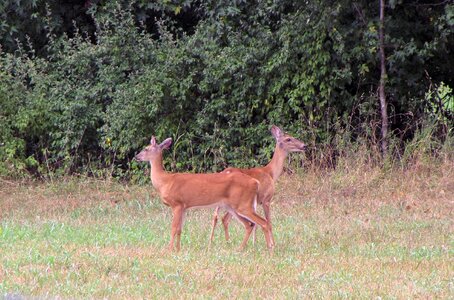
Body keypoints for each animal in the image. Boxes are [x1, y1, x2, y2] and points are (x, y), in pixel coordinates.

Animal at [135, 135, 274, 251]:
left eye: (146, 149)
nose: (136, 157)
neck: (165, 181)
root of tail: (255, 182)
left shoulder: (177, 204)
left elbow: (173, 228)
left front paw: (169, 250)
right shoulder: (184, 206)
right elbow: (180, 229)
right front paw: (178, 249)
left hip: (243, 204)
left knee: (263, 222)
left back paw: (270, 248)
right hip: (234, 206)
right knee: (250, 224)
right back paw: (241, 248)